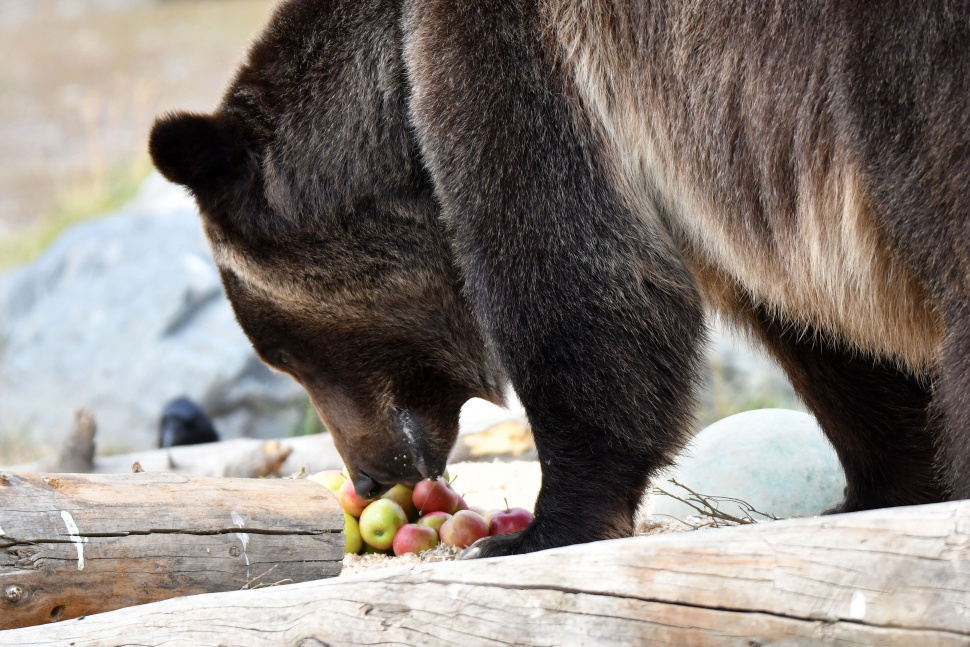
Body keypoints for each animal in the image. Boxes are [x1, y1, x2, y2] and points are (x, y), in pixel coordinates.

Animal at [149, 0, 970, 557]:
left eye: (284, 353)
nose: (373, 477)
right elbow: (824, 333)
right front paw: (879, 491)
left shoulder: (519, 54)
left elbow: (573, 287)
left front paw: (539, 527)